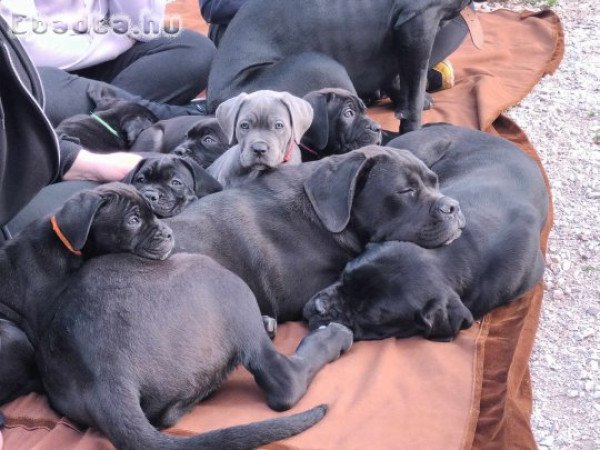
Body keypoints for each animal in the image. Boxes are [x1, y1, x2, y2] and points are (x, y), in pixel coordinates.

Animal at [0, 184, 354, 450]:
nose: (168, 233)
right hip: (219, 278)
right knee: (281, 379)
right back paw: (330, 337)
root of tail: (107, 381)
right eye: (133, 221)